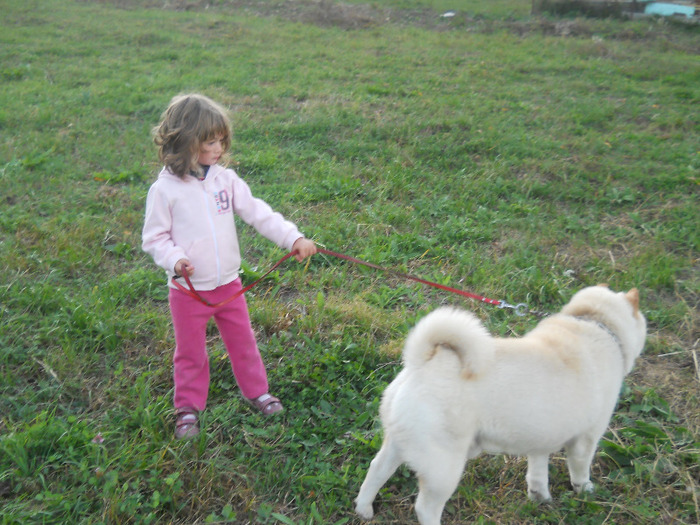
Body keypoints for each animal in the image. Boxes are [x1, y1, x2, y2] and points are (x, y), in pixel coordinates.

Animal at [356, 286, 644, 524]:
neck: (596, 322)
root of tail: (421, 364)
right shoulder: (586, 439)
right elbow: (580, 470)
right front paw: (585, 491)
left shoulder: (540, 440)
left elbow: (537, 473)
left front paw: (540, 498)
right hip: (443, 468)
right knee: (425, 508)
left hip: (398, 444)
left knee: (376, 471)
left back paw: (363, 509)